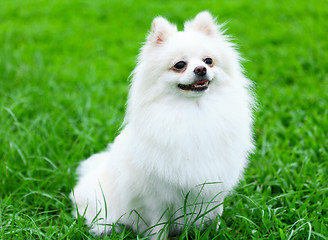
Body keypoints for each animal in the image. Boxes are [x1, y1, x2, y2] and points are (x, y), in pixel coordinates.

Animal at [70, 11, 255, 240]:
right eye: (180, 65)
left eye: (209, 61)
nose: (201, 69)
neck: (195, 111)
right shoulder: (157, 197)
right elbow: (159, 225)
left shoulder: (215, 185)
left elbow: (216, 213)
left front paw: (217, 232)